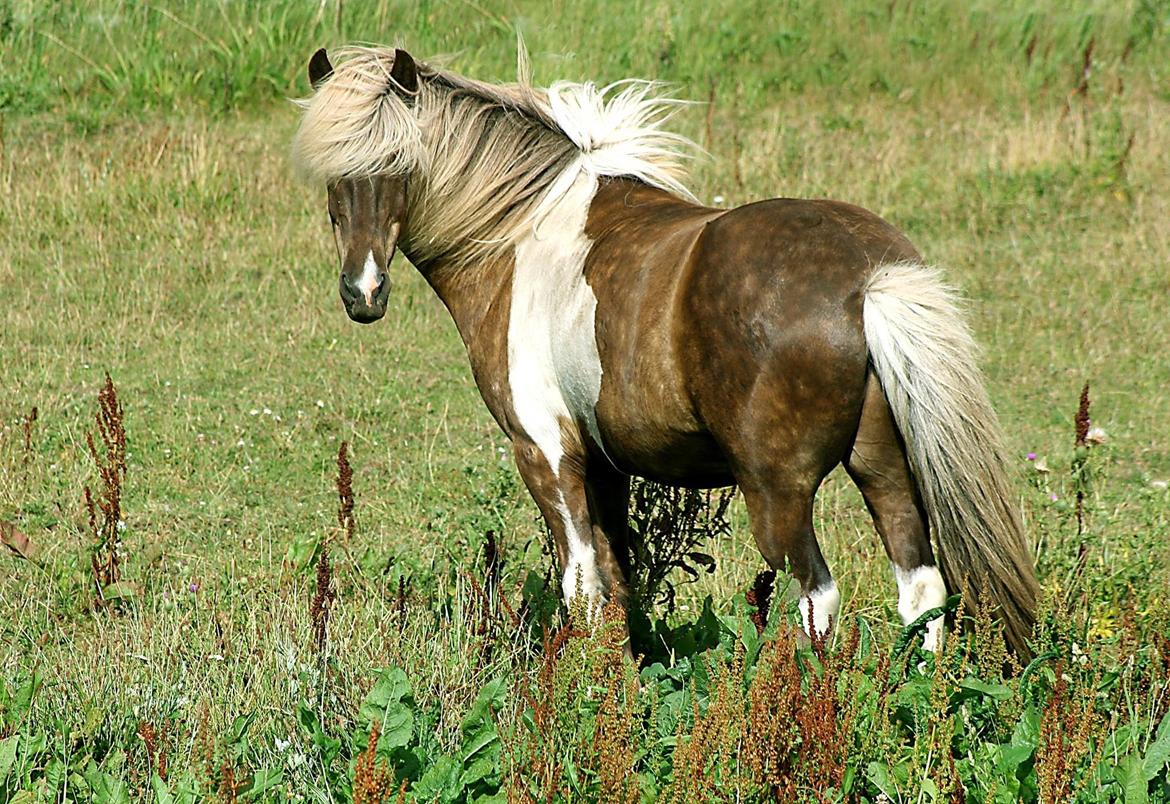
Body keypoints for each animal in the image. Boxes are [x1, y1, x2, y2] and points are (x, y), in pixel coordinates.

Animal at [292, 45, 1043, 660]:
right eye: (333, 175)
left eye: (396, 166)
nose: (362, 292)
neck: (520, 232)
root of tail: (867, 278)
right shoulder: (604, 466)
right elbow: (618, 584)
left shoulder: (546, 453)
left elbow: (582, 586)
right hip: (884, 470)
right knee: (921, 590)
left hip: (778, 491)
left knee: (816, 600)